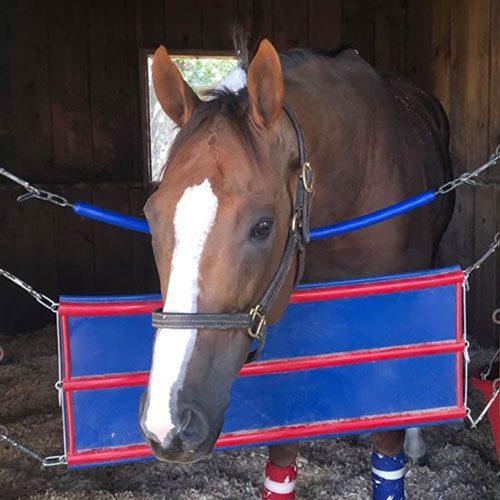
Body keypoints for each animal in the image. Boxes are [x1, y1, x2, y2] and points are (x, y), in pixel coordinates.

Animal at [139, 37, 454, 499]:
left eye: (263, 225)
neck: (356, 180)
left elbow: (388, 441)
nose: (170, 423)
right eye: (151, 215)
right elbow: (283, 454)